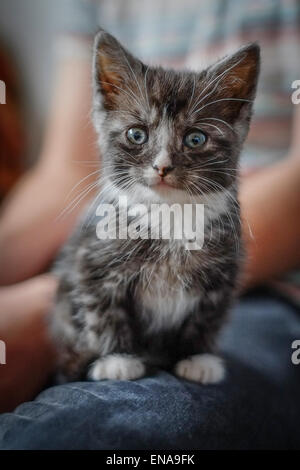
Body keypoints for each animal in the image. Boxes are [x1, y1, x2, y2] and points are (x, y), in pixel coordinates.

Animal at [48, 31, 258, 386]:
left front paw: (196, 357)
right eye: (137, 134)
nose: (162, 167)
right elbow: (104, 312)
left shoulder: (223, 273)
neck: (170, 212)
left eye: (196, 139)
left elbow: (206, 318)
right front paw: (118, 359)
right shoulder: (91, 263)